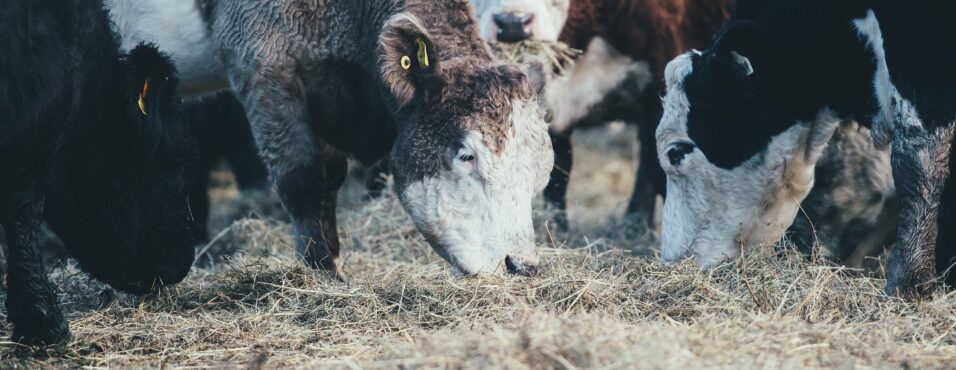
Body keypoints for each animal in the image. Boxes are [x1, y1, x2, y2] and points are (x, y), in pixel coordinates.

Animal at [104, 0, 552, 278]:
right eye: (465, 156)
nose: (522, 265)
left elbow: (329, 179)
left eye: (541, 171)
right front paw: (322, 275)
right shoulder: (263, 70)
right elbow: (302, 180)